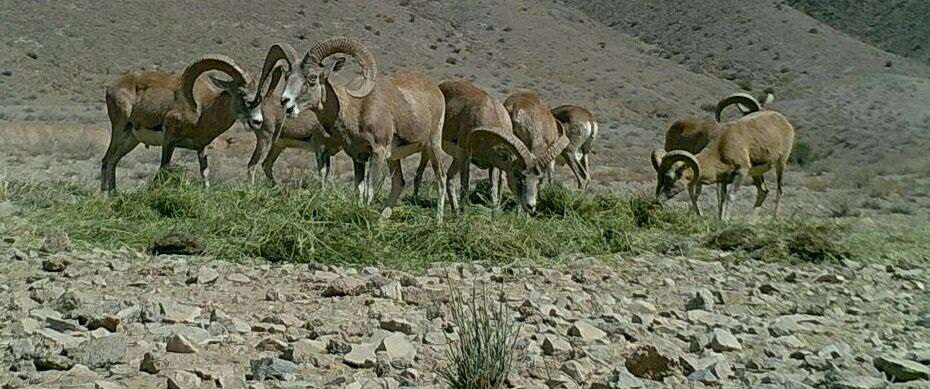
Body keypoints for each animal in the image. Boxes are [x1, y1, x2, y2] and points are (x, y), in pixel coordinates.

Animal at [101, 55, 260, 192]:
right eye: (241, 93)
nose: (257, 121)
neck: (203, 109)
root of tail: (111, 88)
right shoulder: (169, 140)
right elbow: (163, 168)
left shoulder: (201, 148)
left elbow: (205, 173)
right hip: (119, 131)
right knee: (106, 160)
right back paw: (105, 196)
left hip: (131, 140)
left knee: (113, 161)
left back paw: (113, 194)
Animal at [294, 38, 446, 220]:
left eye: (312, 77)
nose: (286, 103)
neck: (356, 107)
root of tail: (436, 91)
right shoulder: (358, 157)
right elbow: (359, 190)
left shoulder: (377, 152)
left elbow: (369, 191)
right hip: (394, 158)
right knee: (399, 183)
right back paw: (382, 220)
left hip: (432, 146)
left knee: (441, 178)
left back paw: (438, 221)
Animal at [652, 96, 792, 220]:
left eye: (669, 177)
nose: (658, 201)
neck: (722, 145)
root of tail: (784, 122)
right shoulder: (724, 179)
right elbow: (722, 197)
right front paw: (720, 219)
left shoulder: (741, 172)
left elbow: (730, 196)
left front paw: (725, 220)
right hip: (757, 173)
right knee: (763, 191)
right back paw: (750, 222)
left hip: (781, 163)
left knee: (779, 190)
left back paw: (773, 219)